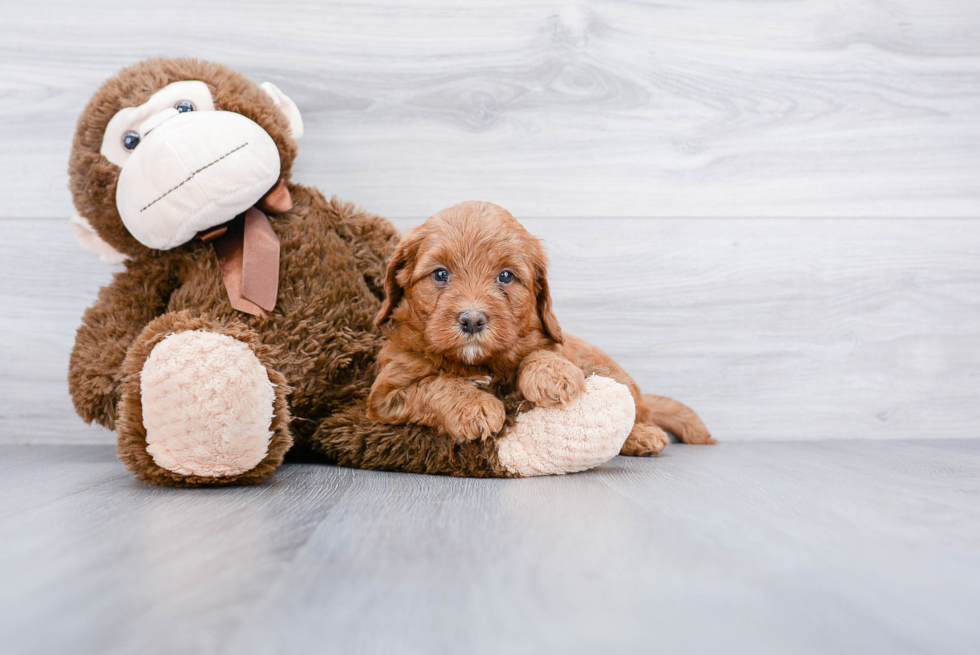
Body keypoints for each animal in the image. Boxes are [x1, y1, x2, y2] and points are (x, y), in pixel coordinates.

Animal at [368, 201, 712, 456]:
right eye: (440, 274)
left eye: (506, 276)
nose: (472, 320)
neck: (478, 363)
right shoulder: (386, 394)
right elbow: (433, 385)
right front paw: (475, 406)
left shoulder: (548, 342)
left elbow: (541, 351)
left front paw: (553, 374)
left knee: (636, 411)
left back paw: (642, 435)